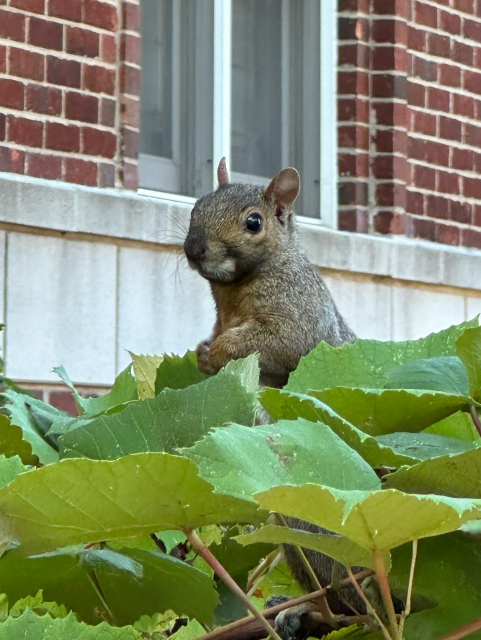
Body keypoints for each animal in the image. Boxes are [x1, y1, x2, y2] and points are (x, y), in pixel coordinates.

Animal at [184, 159, 364, 636]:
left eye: (254, 222)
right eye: (196, 207)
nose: (193, 248)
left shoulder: (295, 319)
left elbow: (273, 343)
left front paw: (220, 351)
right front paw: (203, 354)